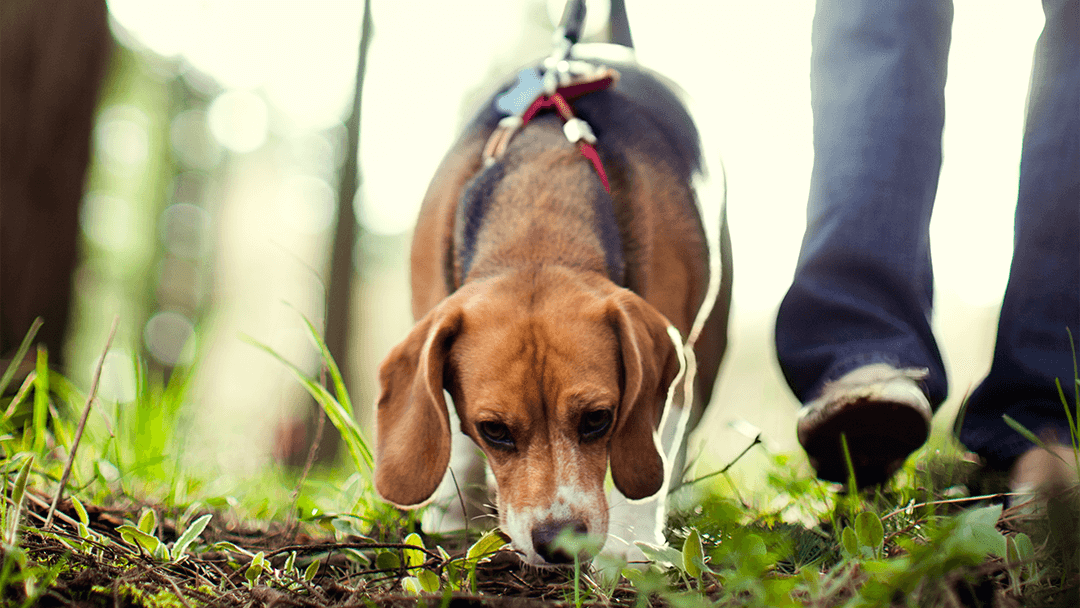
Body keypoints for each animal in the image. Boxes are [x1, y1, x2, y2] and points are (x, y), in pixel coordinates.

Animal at [373, 44, 734, 565]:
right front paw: (453, 512)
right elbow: (447, 425)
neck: (539, 224)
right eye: (493, 429)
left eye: (598, 419)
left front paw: (631, 546)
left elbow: (652, 454)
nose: (559, 542)